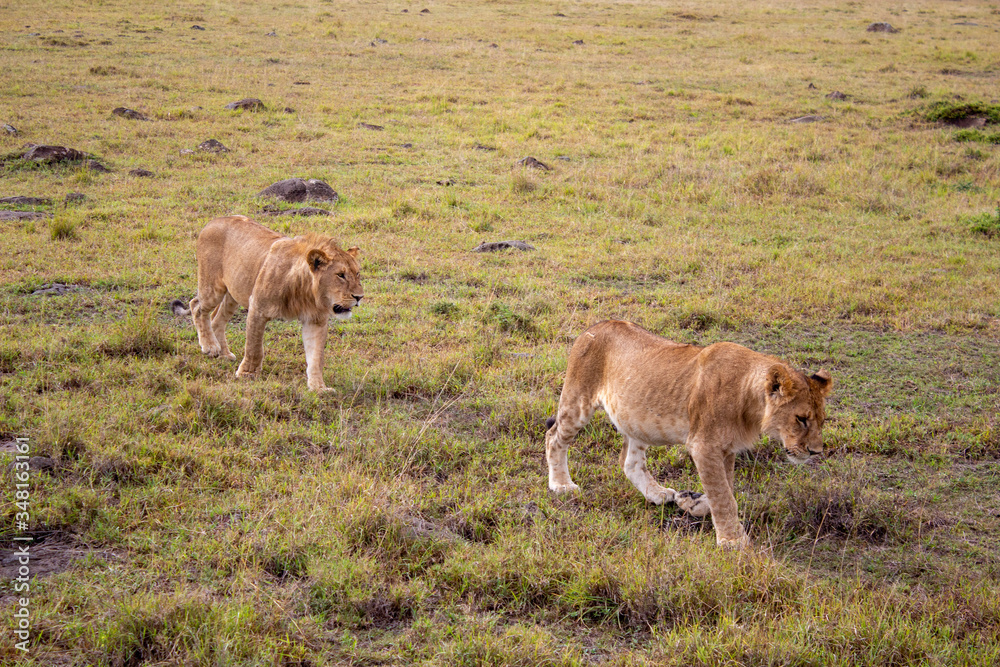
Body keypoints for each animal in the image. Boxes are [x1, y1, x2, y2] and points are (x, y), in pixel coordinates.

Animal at [185, 215, 363, 392]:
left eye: (357, 273)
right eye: (340, 275)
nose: (360, 297)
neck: (305, 292)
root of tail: (214, 220)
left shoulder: (316, 321)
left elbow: (316, 357)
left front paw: (319, 388)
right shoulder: (257, 308)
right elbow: (254, 347)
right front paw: (247, 374)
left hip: (234, 293)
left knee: (216, 319)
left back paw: (223, 354)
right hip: (213, 288)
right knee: (196, 306)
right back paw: (210, 346)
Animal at [545, 320, 833, 549]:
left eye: (821, 420)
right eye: (801, 419)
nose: (816, 452)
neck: (750, 400)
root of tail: (595, 326)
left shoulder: (726, 448)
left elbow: (724, 489)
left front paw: (693, 503)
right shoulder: (704, 445)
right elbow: (724, 496)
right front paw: (733, 541)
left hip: (636, 420)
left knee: (630, 462)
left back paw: (657, 494)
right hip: (577, 401)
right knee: (553, 438)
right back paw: (561, 485)